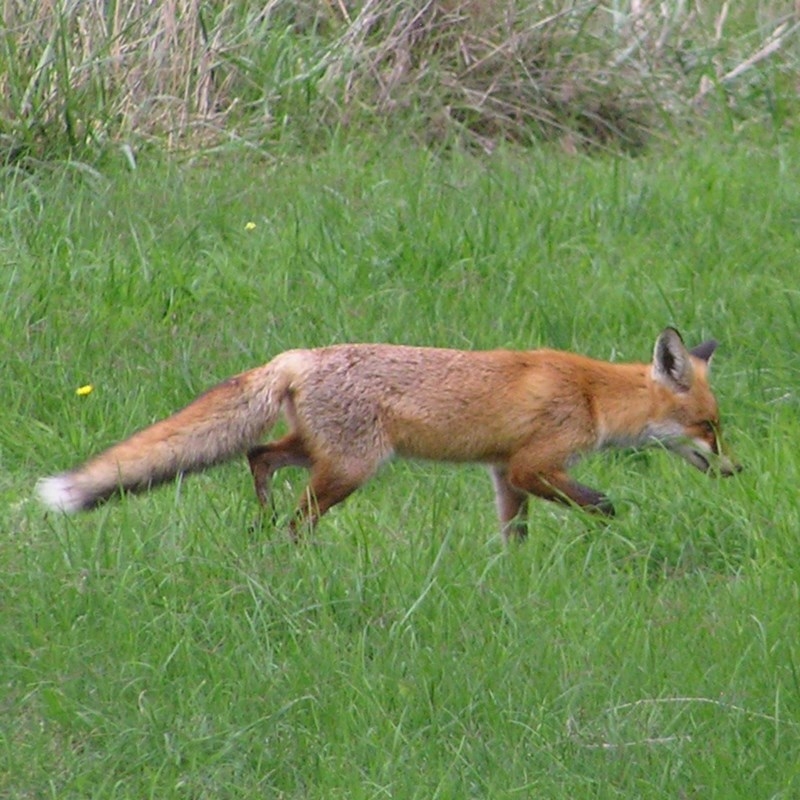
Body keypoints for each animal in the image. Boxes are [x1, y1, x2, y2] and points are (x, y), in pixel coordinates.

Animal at [37, 328, 736, 540]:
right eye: (708, 427)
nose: (735, 471)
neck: (592, 395)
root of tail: (298, 356)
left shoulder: (502, 472)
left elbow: (513, 534)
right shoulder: (531, 464)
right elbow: (603, 502)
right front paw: (611, 527)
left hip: (321, 453)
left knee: (259, 455)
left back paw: (259, 525)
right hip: (351, 469)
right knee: (297, 519)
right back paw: (290, 553)